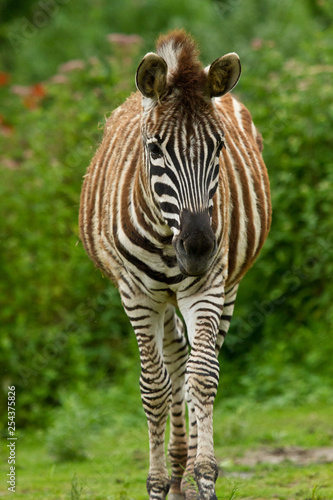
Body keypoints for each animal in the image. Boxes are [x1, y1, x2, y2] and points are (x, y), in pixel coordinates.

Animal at [80, 30, 270, 500]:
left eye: (218, 147)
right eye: (154, 150)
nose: (199, 248)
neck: (168, 236)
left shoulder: (208, 287)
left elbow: (202, 377)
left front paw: (203, 477)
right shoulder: (136, 295)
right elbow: (154, 387)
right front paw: (156, 482)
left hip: (226, 287)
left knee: (196, 360)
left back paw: (185, 472)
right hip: (159, 297)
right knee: (175, 359)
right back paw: (175, 471)